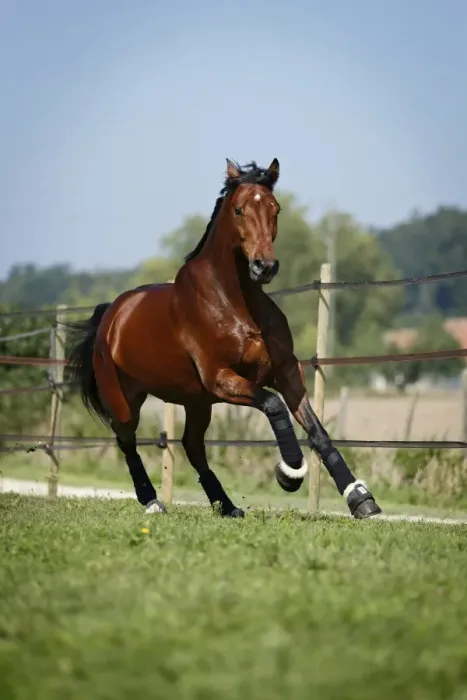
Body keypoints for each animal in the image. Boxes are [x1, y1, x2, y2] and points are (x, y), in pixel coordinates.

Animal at [67, 158, 382, 520]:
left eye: (275, 208)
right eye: (239, 210)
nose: (264, 266)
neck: (235, 304)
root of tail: (111, 314)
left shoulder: (286, 372)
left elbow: (317, 430)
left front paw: (361, 499)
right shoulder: (222, 379)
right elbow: (274, 405)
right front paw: (289, 473)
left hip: (195, 402)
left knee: (192, 447)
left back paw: (227, 506)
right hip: (125, 398)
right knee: (126, 440)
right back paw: (153, 502)